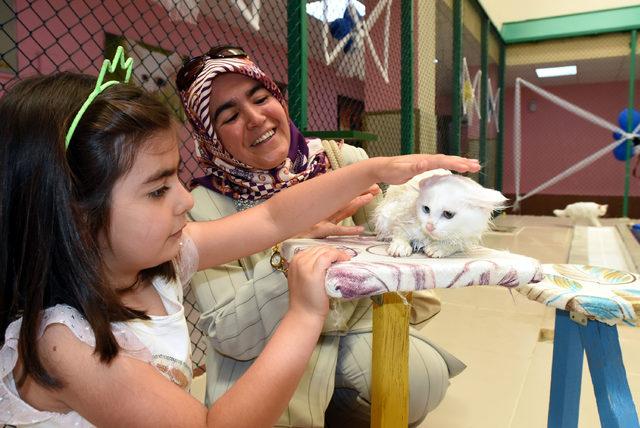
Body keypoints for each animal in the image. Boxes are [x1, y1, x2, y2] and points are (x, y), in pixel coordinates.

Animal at [372, 170, 508, 258]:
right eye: (426, 209)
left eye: (448, 214)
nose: (429, 226)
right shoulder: (400, 216)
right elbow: (400, 233)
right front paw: (400, 246)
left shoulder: (467, 238)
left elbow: (454, 245)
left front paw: (438, 248)